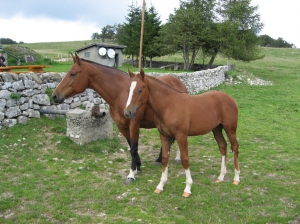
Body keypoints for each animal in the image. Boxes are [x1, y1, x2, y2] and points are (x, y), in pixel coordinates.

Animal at [51, 53, 188, 184]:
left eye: (72, 74)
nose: (54, 96)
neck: (120, 93)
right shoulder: (121, 126)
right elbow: (131, 147)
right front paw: (138, 167)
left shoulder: (134, 125)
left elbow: (134, 148)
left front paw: (131, 174)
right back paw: (160, 160)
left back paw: (176, 158)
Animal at [123, 69, 240, 197]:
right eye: (128, 90)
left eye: (140, 90)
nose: (127, 112)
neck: (169, 105)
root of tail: (229, 98)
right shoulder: (164, 136)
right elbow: (165, 158)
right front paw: (160, 185)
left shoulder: (181, 136)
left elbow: (185, 159)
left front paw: (187, 188)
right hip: (217, 129)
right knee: (223, 146)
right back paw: (221, 177)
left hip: (230, 129)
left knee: (235, 147)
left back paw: (236, 178)